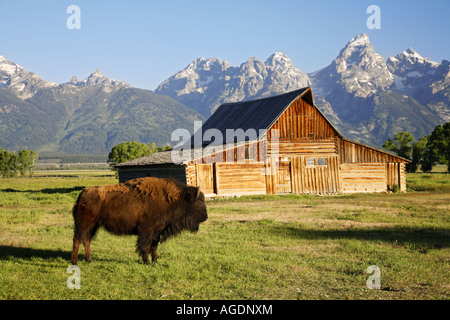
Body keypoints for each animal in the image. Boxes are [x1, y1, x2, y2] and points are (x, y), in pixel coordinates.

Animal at [71, 176, 208, 264]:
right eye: (199, 201)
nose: (206, 217)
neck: (174, 199)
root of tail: (83, 193)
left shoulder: (157, 231)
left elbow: (154, 246)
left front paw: (155, 261)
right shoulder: (146, 230)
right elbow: (145, 246)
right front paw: (147, 262)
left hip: (93, 226)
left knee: (87, 240)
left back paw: (90, 260)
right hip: (83, 224)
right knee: (77, 239)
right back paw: (75, 262)